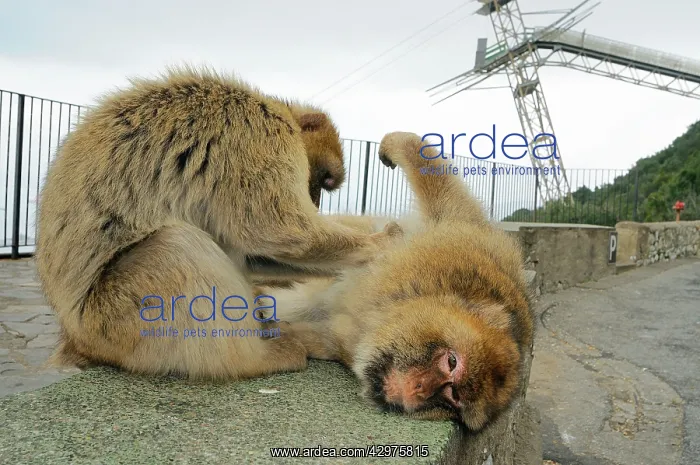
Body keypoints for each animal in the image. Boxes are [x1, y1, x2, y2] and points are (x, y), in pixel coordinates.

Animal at [34, 65, 400, 380]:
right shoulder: (258, 137)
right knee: (174, 247)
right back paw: (256, 358)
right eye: (324, 181)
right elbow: (277, 230)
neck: (273, 111)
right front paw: (380, 243)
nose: (315, 201)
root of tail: (76, 337)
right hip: (115, 323)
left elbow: (252, 252)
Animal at [259, 131, 535, 431]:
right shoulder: (454, 247)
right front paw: (401, 144)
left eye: (453, 398)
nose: (420, 389)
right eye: (452, 361)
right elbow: (444, 192)